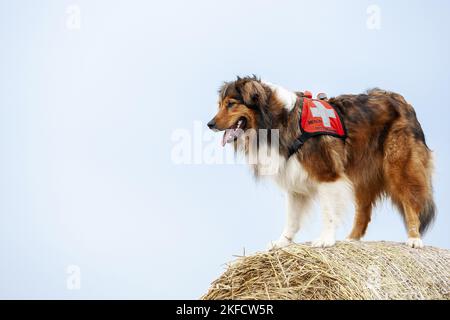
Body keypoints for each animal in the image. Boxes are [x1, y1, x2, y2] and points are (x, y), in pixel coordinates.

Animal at [208, 76, 436, 249]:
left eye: (231, 104)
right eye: (219, 105)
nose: (210, 124)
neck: (278, 119)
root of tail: (402, 101)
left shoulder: (328, 175)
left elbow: (328, 212)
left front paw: (325, 240)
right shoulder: (294, 182)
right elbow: (291, 219)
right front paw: (282, 243)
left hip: (398, 166)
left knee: (410, 202)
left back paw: (414, 239)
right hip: (361, 173)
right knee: (364, 212)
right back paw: (351, 240)